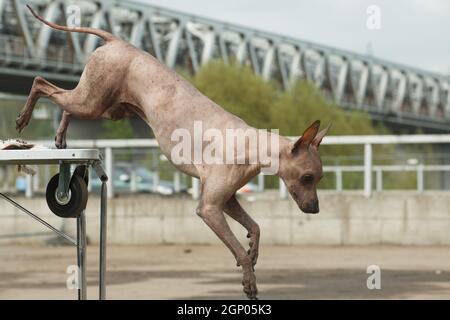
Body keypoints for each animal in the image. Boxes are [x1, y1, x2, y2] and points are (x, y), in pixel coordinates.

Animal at [17, 4, 328, 300]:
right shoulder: (209, 208)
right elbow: (237, 249)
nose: (315, 209)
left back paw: (60, 136)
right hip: (91, 101)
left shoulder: (227, 200)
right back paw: (23, 117)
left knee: (65, 105)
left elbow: (256, 227)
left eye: (319, 178)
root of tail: (118, 41)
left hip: (104, 108)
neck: (253, 145)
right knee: (41, 82)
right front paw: (249, 281)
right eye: (307, 177)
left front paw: (253, 249)